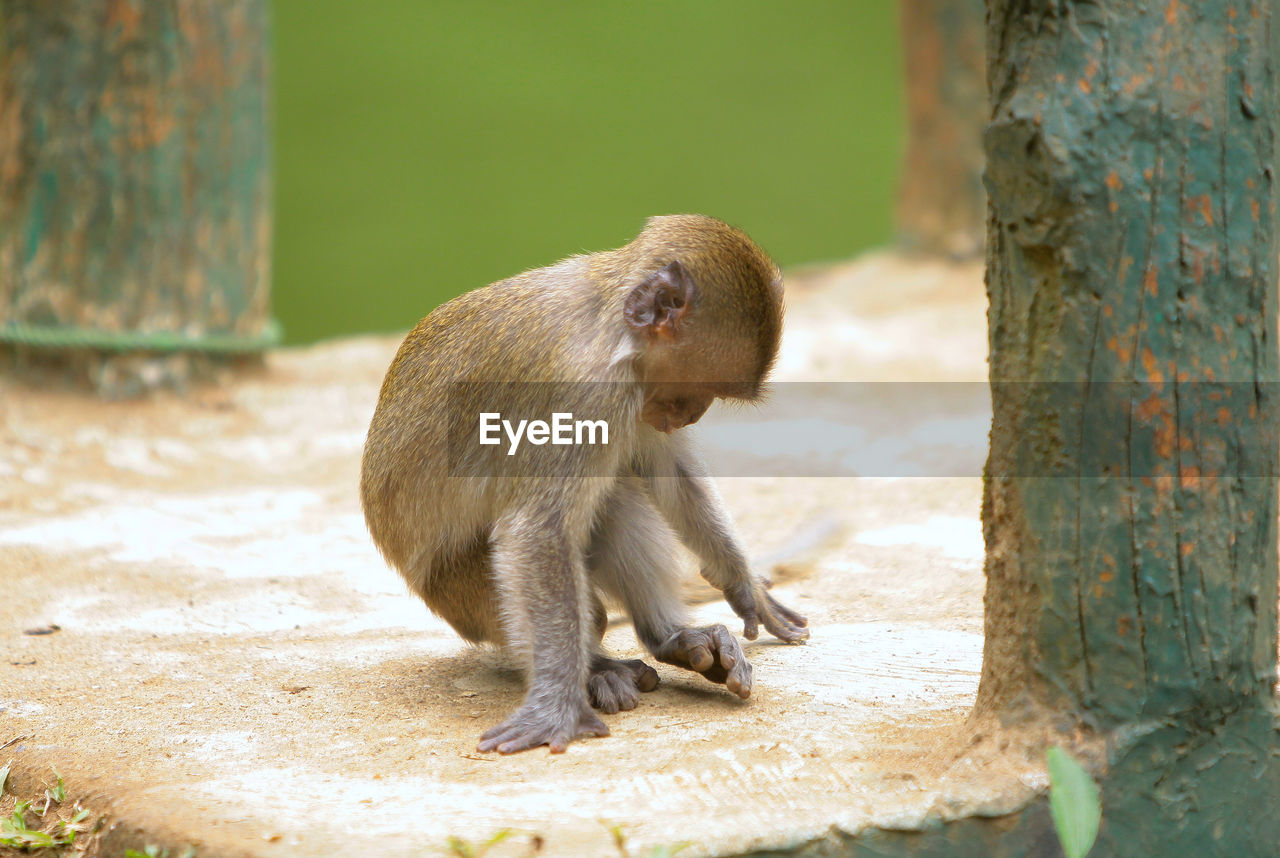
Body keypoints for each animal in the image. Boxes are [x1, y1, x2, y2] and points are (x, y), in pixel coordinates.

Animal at [358, 213, 808, 752]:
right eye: (700, 389)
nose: (693, 414)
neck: (612, 327)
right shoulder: (587, 393)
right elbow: (539, 530)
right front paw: (555, 706)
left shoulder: (638, 397)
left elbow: (669, 476)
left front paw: (745, 585)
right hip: (455, 589)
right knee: (581, 592)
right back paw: (596, 671)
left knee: (617, 497)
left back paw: (671, 639)